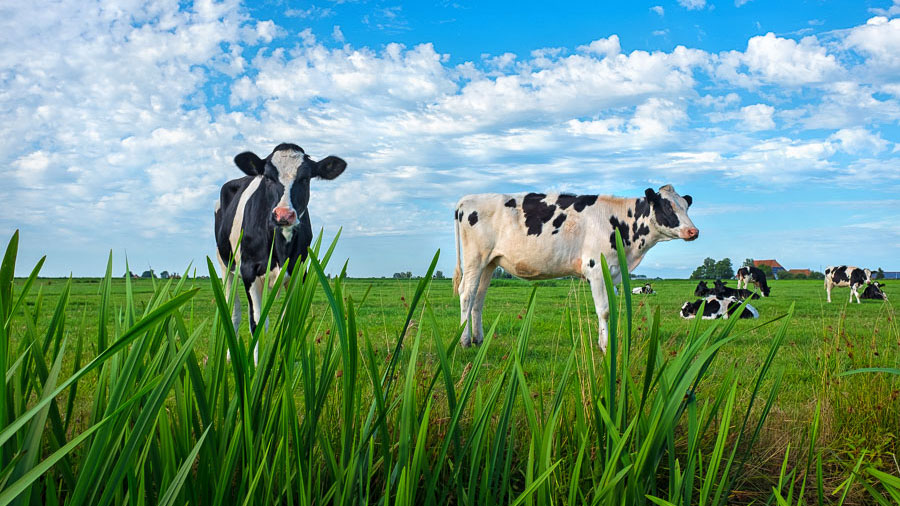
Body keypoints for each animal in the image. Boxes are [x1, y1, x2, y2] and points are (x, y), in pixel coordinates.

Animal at [215, 143, 347, 360]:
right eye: (268, 177)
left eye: (305, 178)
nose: (283, 215)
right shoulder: (249, 271)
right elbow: (257, 323)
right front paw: (256, 365)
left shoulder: (299, 272)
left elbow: (289, 321)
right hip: (224, 265)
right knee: (234, 312)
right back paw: (227, 357)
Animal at [452, 185, 698, 352]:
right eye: (667, 206)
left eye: (686, 207)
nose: (693, 231)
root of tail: (466, 200)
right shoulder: (596, 268)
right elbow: (604, 310)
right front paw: (605, 347)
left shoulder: (612, 273)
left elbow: (610, 308)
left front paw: (606, 342)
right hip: (475, 257)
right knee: (466, 294)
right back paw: (464, 341)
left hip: (489, 262)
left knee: (478, 297)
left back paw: (478, 339)